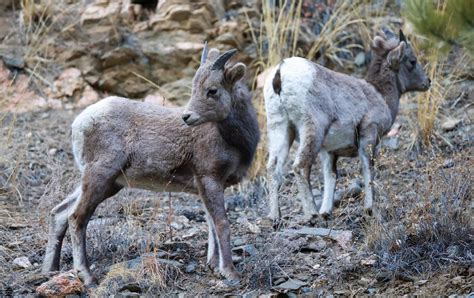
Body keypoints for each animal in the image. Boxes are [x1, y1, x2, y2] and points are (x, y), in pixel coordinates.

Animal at [41, 45, 260, 286]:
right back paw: (87, 277)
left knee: (59, 213)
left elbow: (211, 223)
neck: (233, 140)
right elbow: (221, 224)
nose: (187, 117)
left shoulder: (207, 186)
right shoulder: (210, 179)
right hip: (100, 176)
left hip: (107, 183)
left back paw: (50, 270)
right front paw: (230, 272)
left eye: (212, 90)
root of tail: (80, 122)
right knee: (76, 217)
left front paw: (213, 265)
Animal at [264, 29, 432, 221]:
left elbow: (330, 177)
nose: (427, 82)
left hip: (281, 129)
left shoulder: (329, 153)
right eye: (412, 61)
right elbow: (368, 171)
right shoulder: (368, 139)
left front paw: (326, 212)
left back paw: (275, 218)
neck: (379, 94)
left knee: (273, 169)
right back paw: (312, 215)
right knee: (300, 166)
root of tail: (280, 73)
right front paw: (371, 210)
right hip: (312, 129)